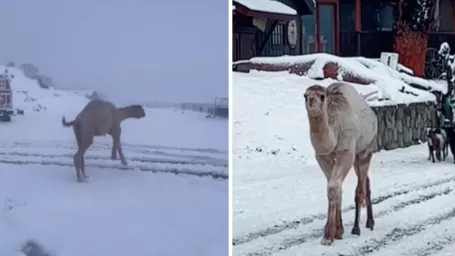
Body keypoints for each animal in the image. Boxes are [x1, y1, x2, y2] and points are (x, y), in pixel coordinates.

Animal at [304, 82, 380, 246]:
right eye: (305, 95)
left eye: (322, 96)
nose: (311, 101)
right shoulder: (322, 156)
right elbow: (334, 188)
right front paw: (337, 231)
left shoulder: (346, 152)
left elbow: (334, 187)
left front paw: (328, 236)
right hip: (357, 155)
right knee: (366, 180)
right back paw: (369, 222)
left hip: (366, 149)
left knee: (360, 186)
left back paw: (358, 227)